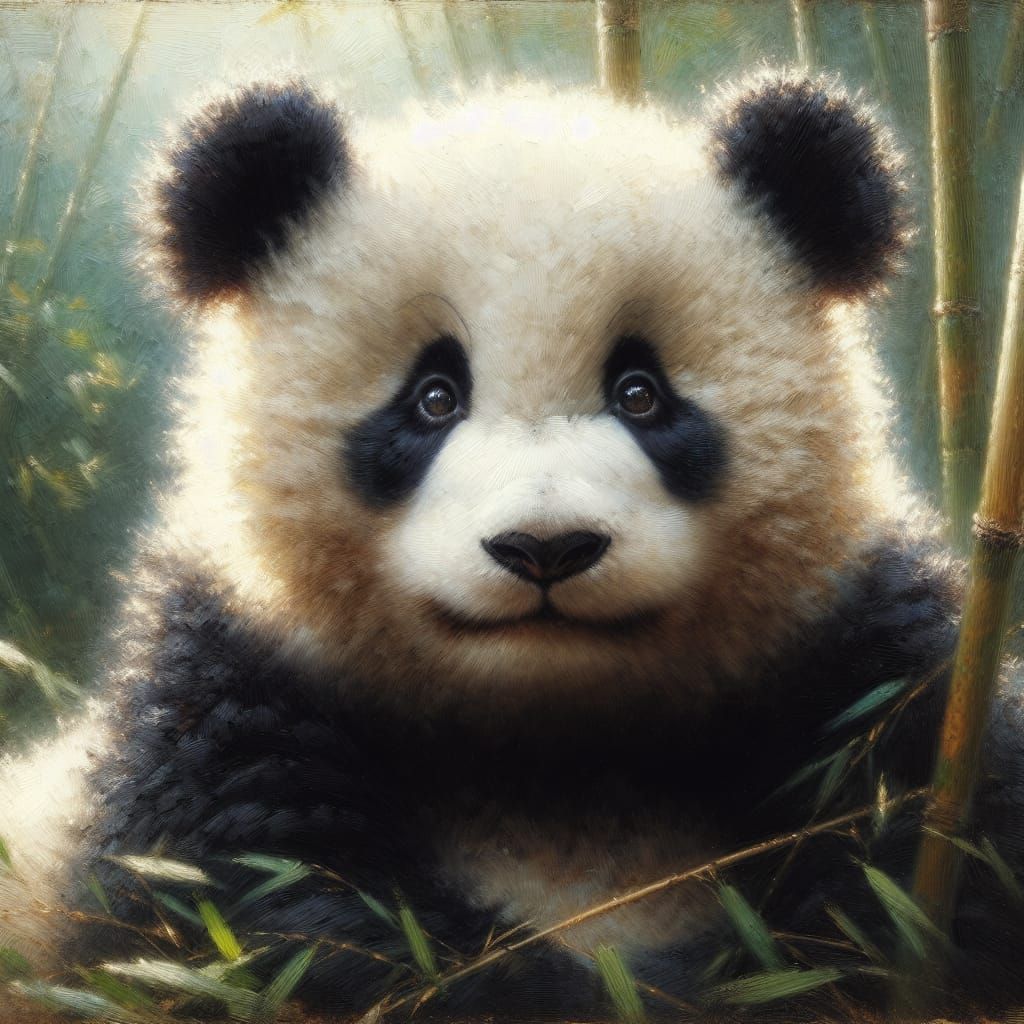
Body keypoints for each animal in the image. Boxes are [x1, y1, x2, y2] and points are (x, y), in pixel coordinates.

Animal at [2, 72, 1024, 1022]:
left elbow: (921, 852)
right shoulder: (224, 700)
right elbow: (262, 909)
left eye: (641, 392)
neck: (551, 753)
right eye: (433, 398)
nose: (545, 548)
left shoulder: (860, 659)